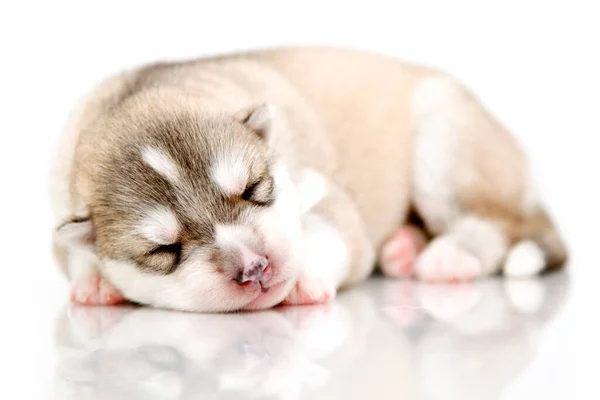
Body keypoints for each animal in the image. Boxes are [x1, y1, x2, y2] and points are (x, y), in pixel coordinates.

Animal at [50, 46, 568, 312]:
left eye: (253, 189)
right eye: (164, 250)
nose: (254, 267)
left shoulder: (320, 189)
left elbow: (328, 231)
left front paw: (305, 275)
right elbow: (76, 252)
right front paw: (93, 281)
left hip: (445, 146)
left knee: (499, 222)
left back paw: (449, 256)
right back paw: (403, 249)